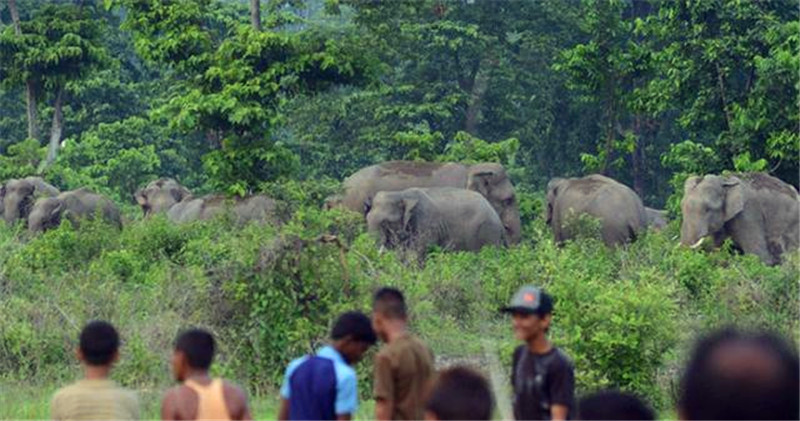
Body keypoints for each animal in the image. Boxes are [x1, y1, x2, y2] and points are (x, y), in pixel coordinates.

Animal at [366, 187, 504, 256]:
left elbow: (418, 252)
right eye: (367, 219)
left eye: (386, 222)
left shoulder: (426, 223)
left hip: (487, 232)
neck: (401, 193)